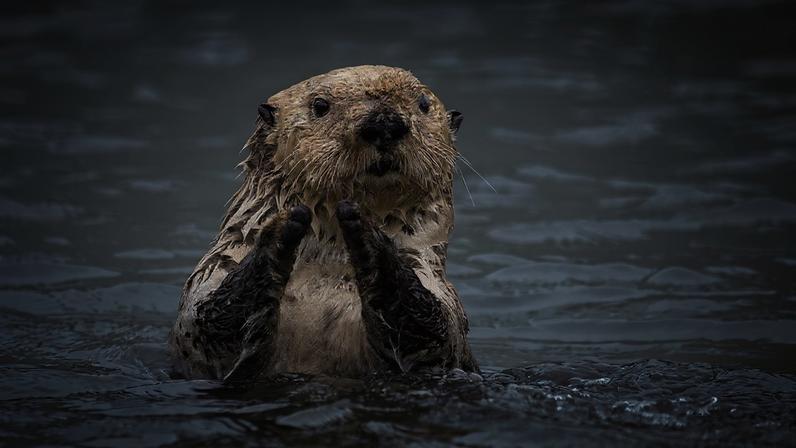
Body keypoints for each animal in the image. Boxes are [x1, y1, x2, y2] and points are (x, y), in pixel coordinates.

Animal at [170, 65, 478, 382]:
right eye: (320, 105)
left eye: (424, 104)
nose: (384, 123)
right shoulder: (209, 280)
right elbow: (211, 324)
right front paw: (283, 226)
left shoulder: (439, 294)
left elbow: (430, 328)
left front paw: (363, 227)